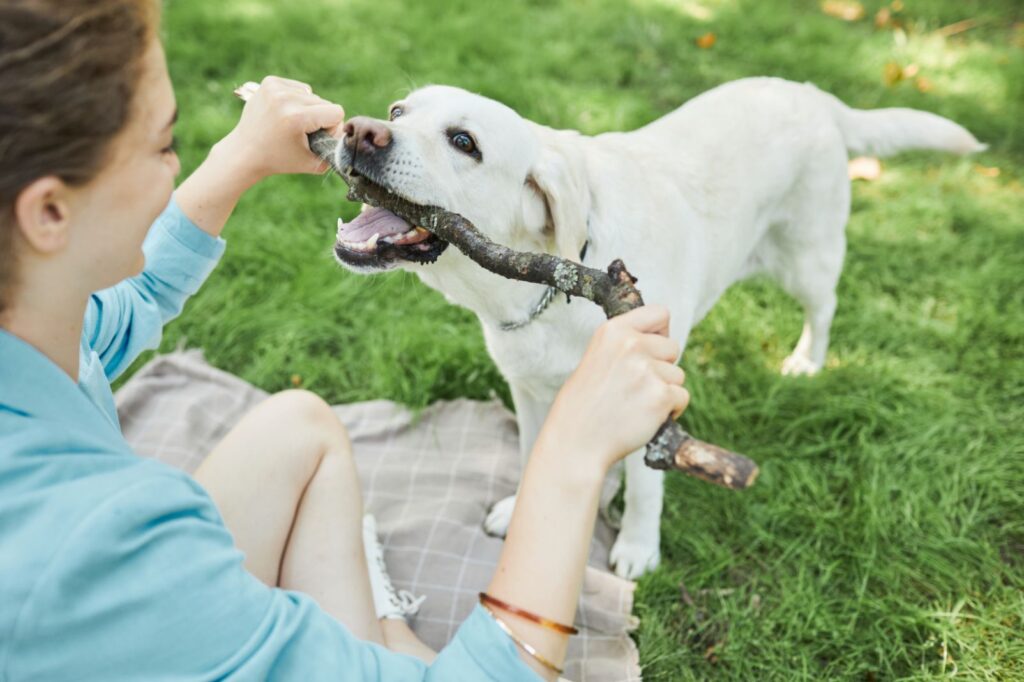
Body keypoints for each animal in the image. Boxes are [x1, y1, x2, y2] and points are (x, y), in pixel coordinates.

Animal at [331, 76, 978, 577]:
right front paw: (523, 511)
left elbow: (647, 483)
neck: (552, 282)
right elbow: (534, 454)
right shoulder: (530, 393)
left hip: (809, 260)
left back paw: (807, 363)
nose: (359, 130)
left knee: (824, 309)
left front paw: (638, 547)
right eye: (398, 112)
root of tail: (809, 92)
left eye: (464, 142)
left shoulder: (650, 393)